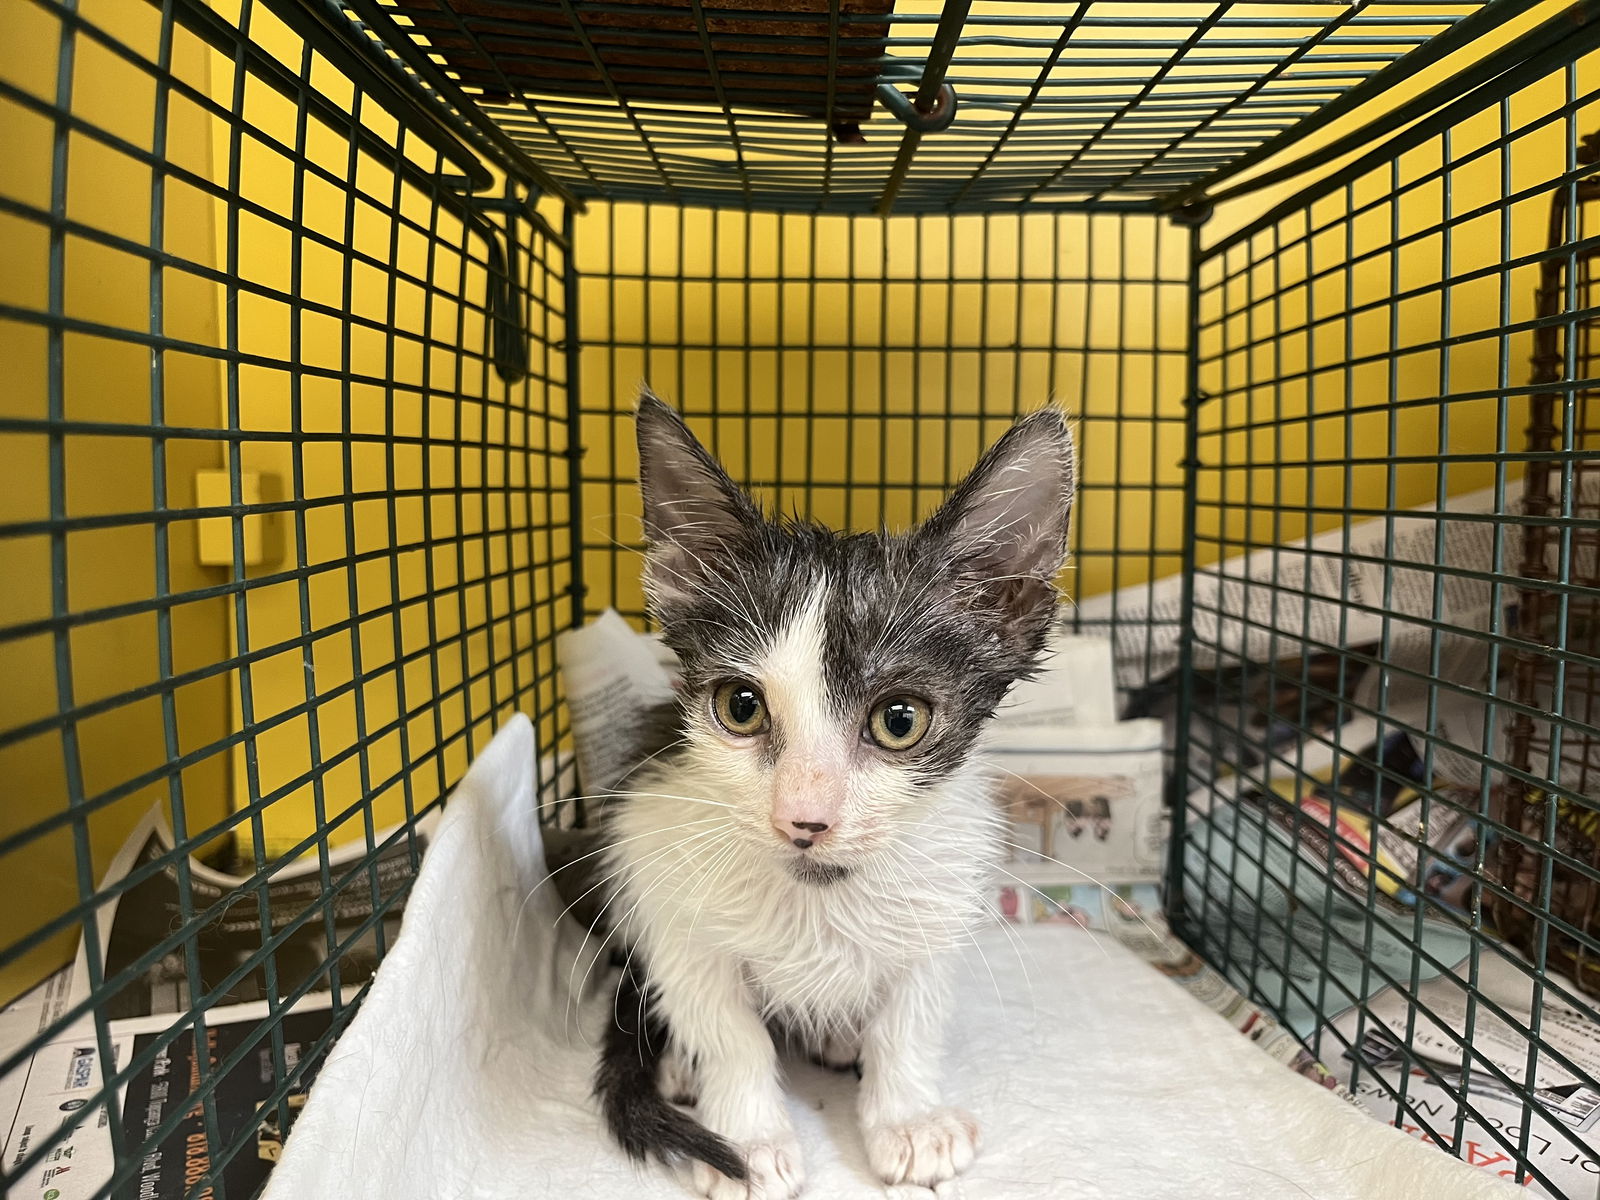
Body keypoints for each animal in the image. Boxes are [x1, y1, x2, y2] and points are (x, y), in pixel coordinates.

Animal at [592, 390, 1075, 1196]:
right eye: (740, 707)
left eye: (900, 720)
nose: (803, 819)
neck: (821, 897)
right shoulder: (665, 878)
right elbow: (728, 1028)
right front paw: (745, 1138)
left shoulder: (943, 895)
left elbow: (911, 1015)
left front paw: (908, 1119)